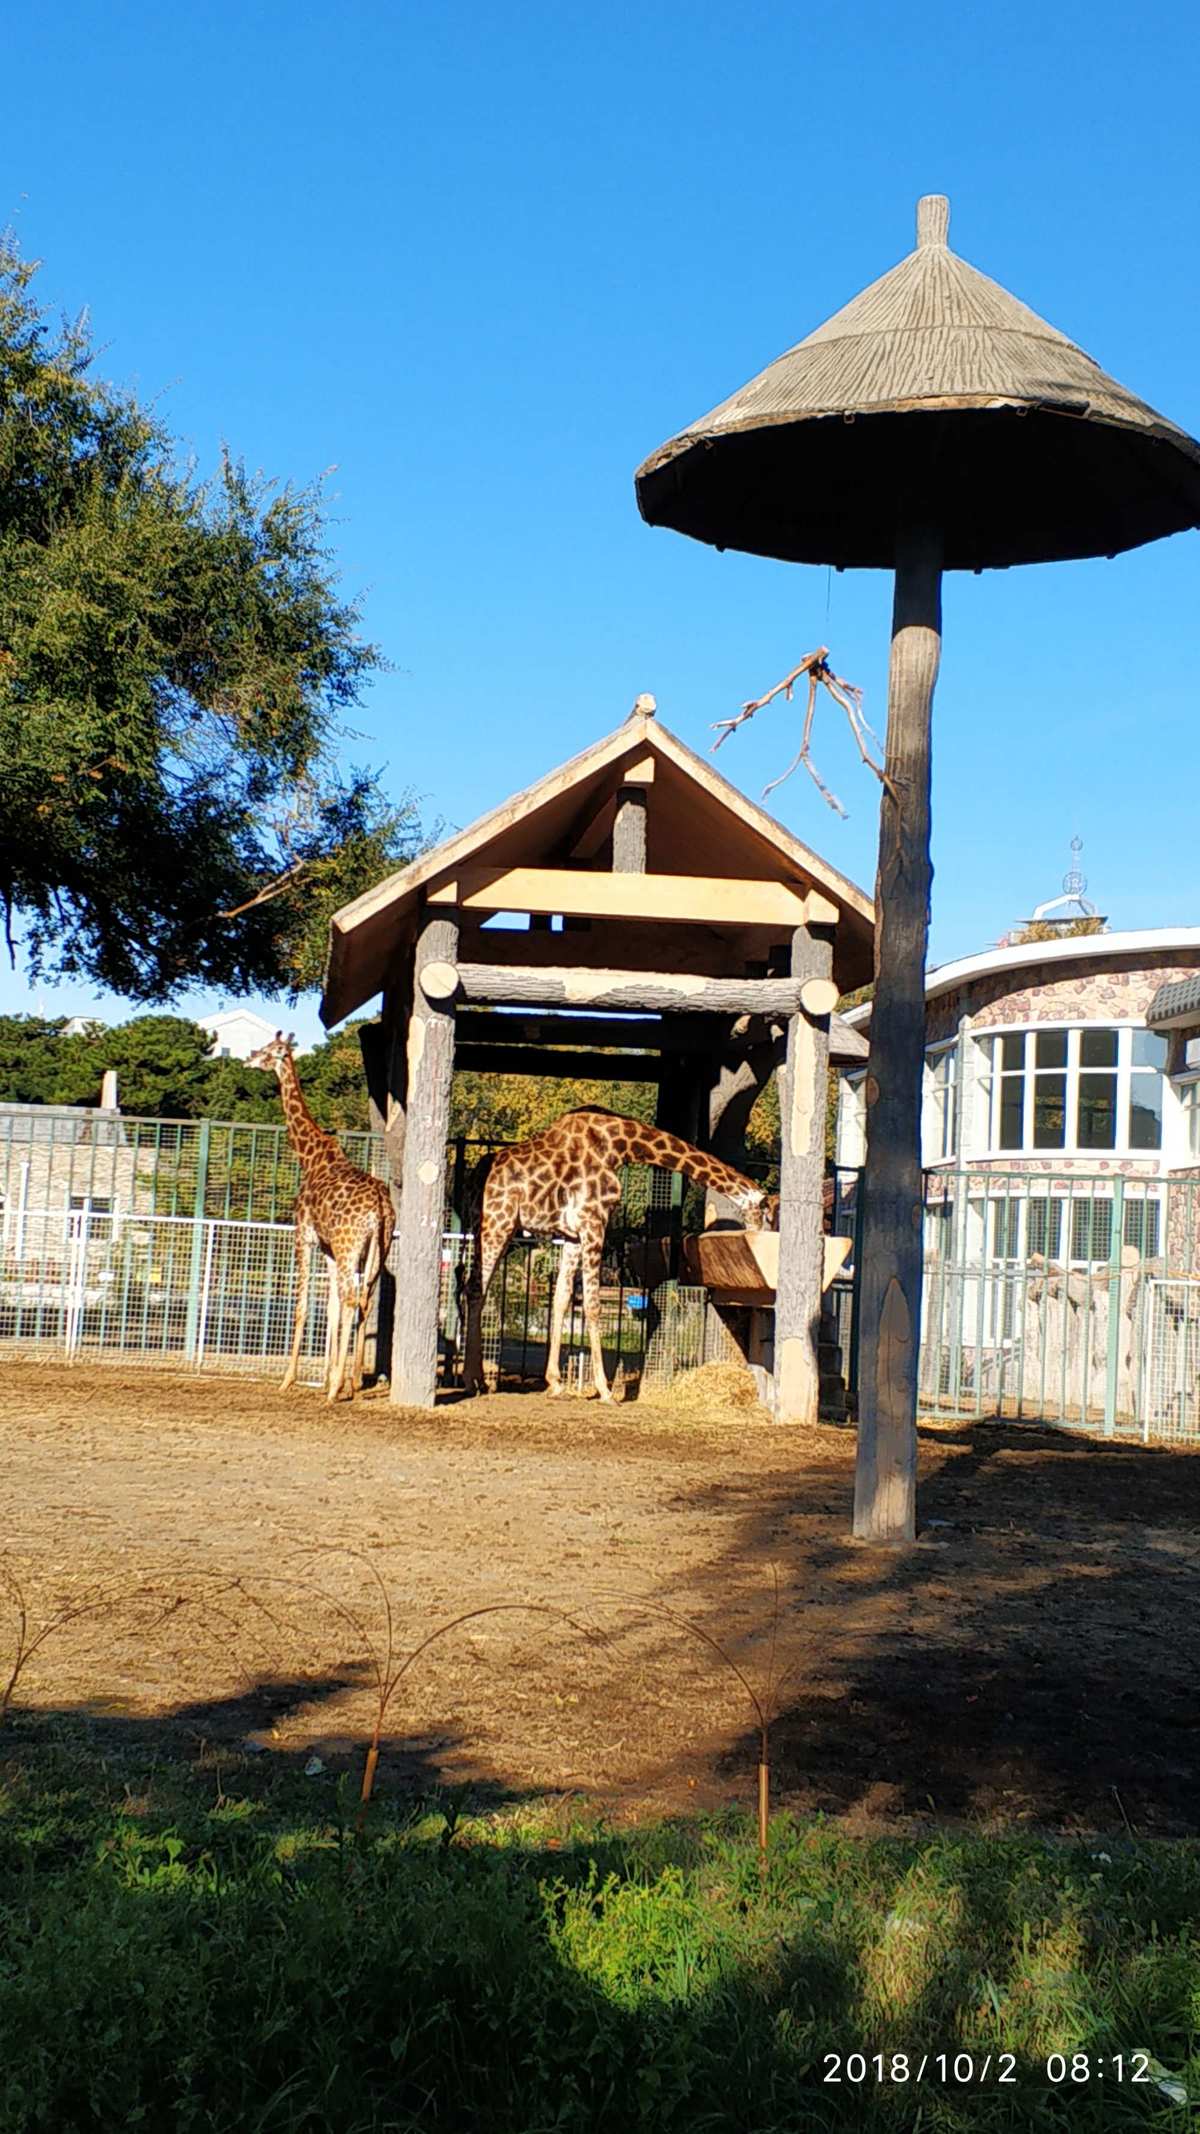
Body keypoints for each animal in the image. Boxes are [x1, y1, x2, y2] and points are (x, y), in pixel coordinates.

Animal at [247, 1032, 397, 1399]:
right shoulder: (329, 1248)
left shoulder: (304, 1236)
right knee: (362, 1299)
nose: (249, 1057)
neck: (310, 1157)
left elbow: (303, 1306)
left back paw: (336, 1390)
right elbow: (330, 1306)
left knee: (352, 1297)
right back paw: (350, 1382)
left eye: (272, 1052)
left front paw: (289, 1379)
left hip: (349, 1247)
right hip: (376, 1248)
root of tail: (379, 1206)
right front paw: (329, 1377)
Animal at [456, 1109, 777, 1408]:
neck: (618, 1145)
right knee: (475, 1288)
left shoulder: (573, 1234)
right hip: (498, 1223)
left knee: (476, 1288)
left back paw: (478, 1378)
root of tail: (471, 1181)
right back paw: (473, 1380)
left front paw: (556, 1384)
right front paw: (606, 1391)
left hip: (492, 1226)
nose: (763, 1237)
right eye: (768, 1215)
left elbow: (562, 1297)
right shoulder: (594, 1221)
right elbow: (593, 1305)